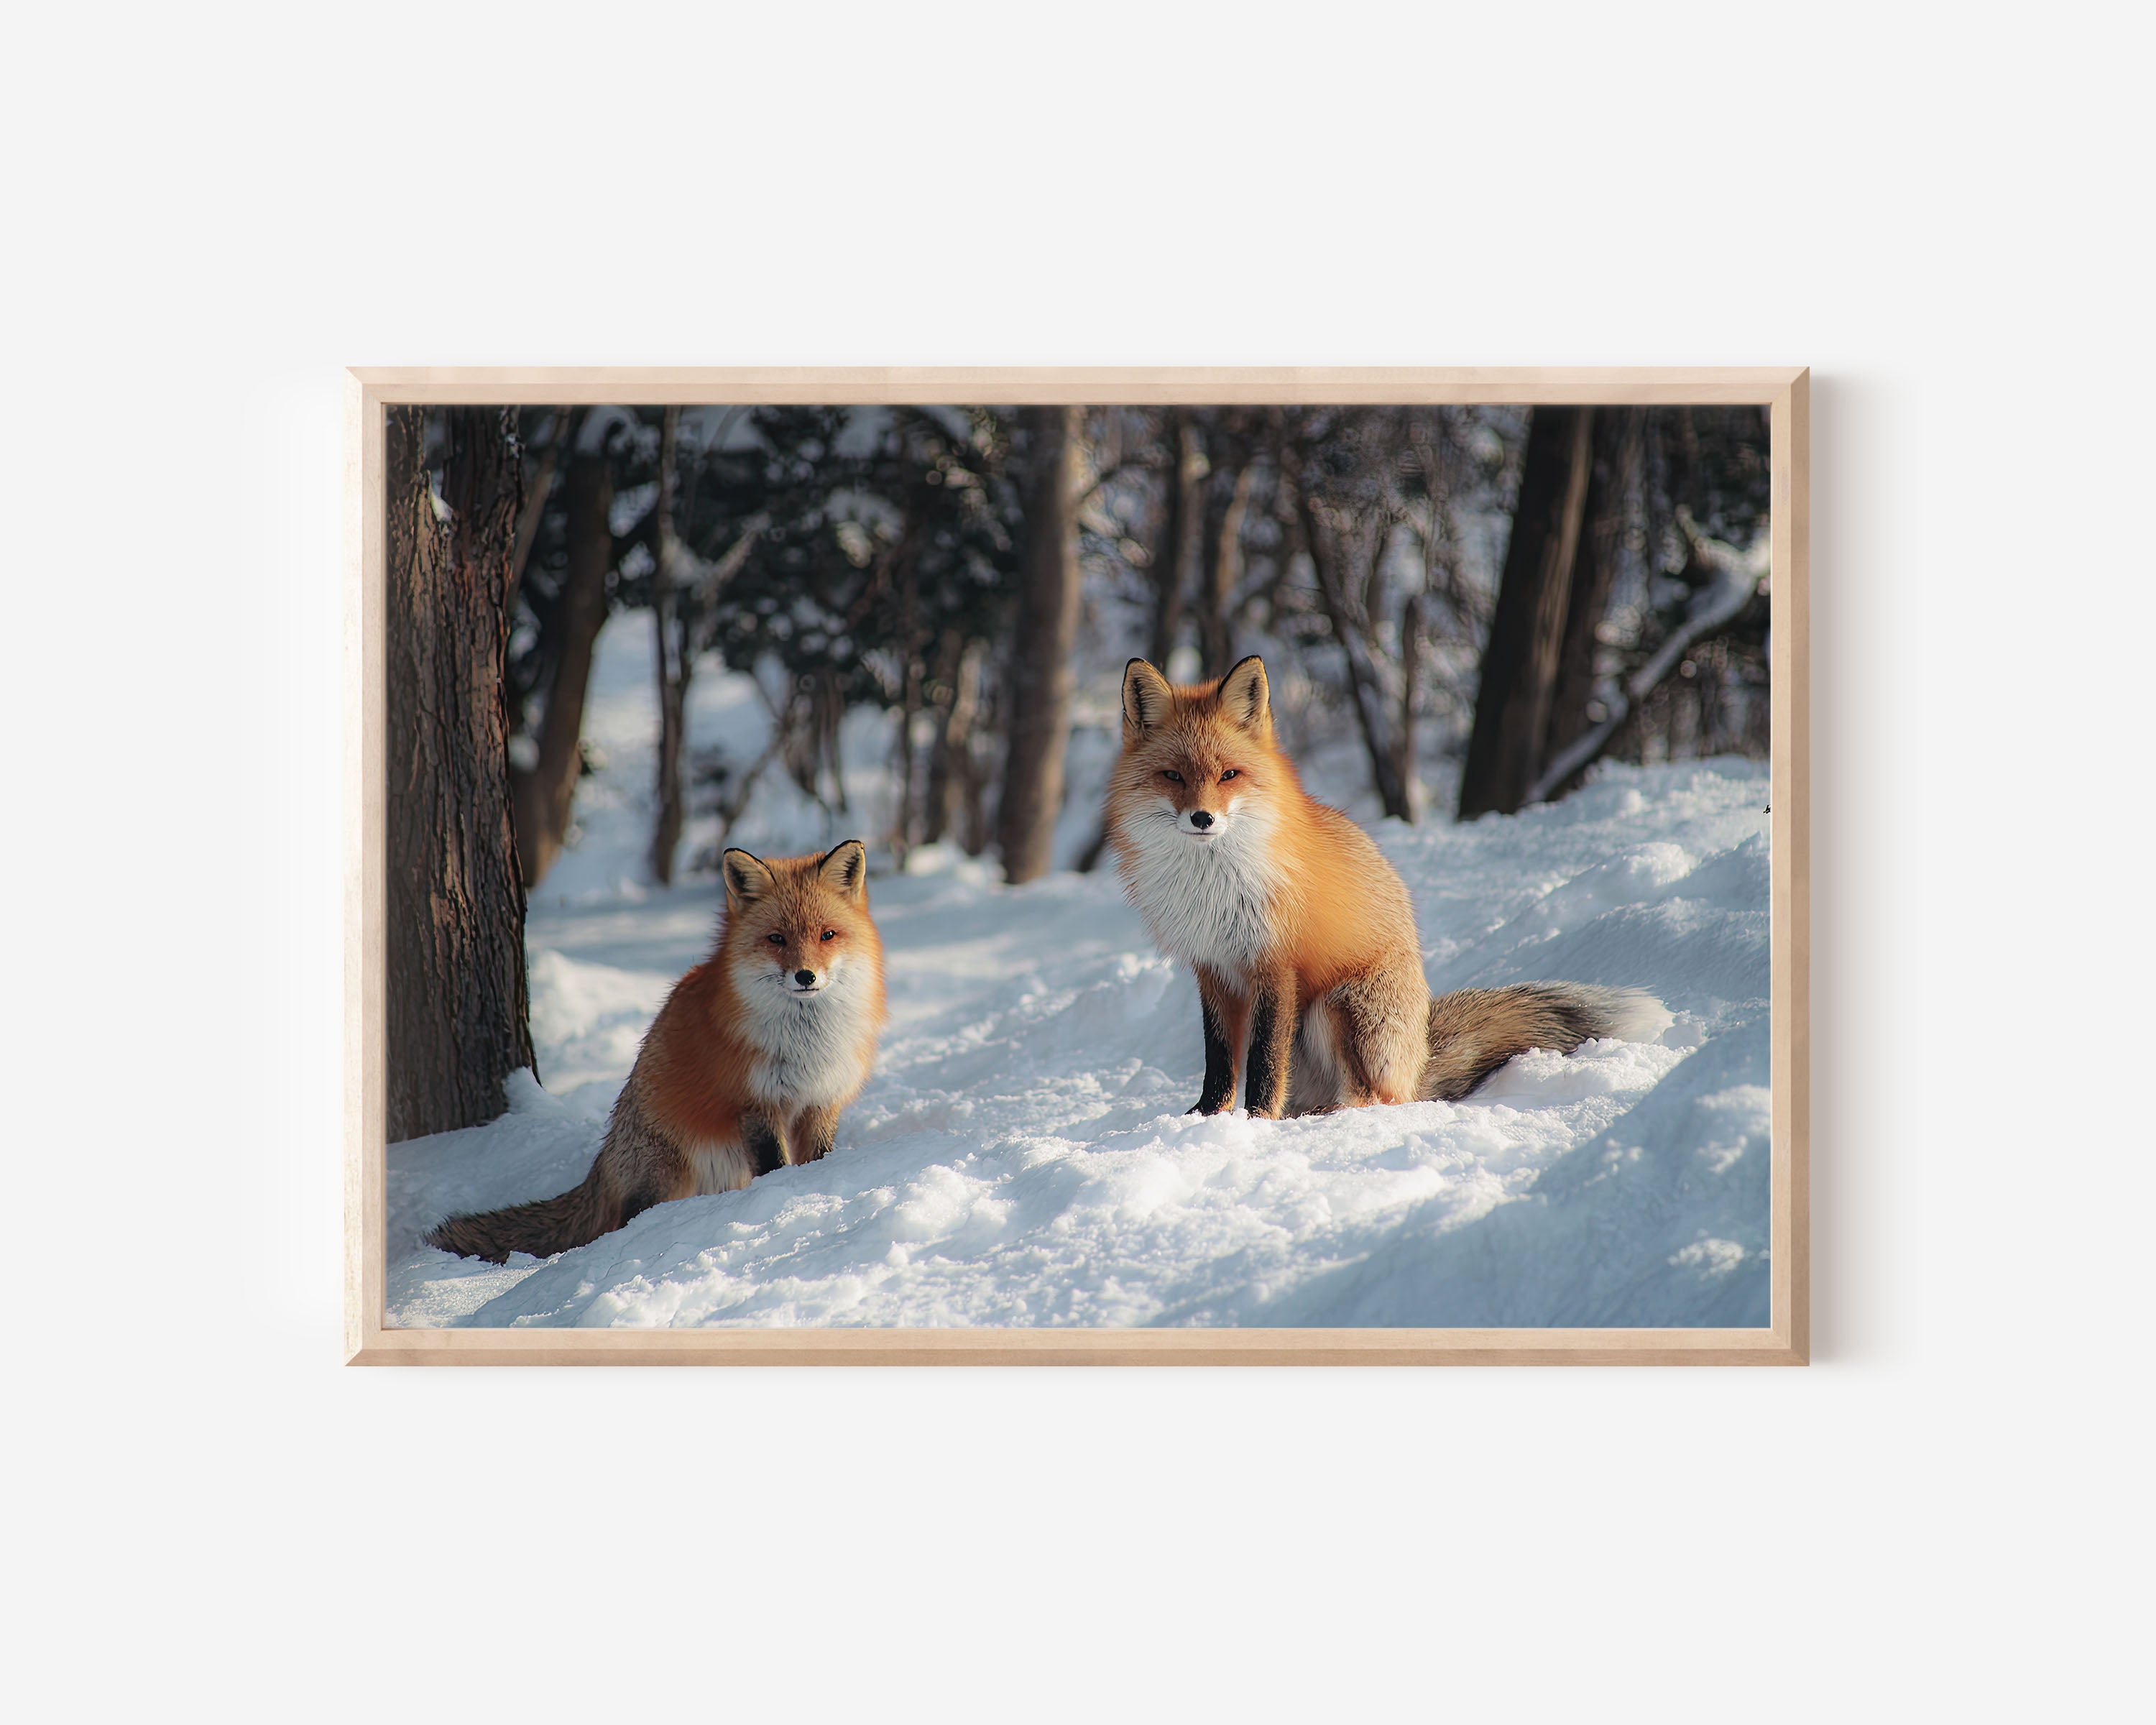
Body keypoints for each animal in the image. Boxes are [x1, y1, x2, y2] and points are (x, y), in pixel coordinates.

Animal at [426, 840, 887, 1263]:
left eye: (827, 935)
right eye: (777, 939)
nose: (805, 976)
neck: (806, 1041)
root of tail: (604, 1157)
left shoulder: (822, 1098)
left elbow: (818, 1157)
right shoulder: (755, 1102)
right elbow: (775, 1164)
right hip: (669, 1171)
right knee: (626, 1219)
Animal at [1105, 655, 1670, 1119]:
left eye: (1229, 775)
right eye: (1173, 776)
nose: (1202, 819)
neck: (1210, 885)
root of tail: (1419, 1059)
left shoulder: (1275, 965)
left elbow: (1264, 1062)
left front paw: (1254, 1121)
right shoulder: (1213, 968)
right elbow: (1220, 1060)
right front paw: (1206, 1119)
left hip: (1337, 1006)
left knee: (1373, 1098)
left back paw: (1324, 1118)